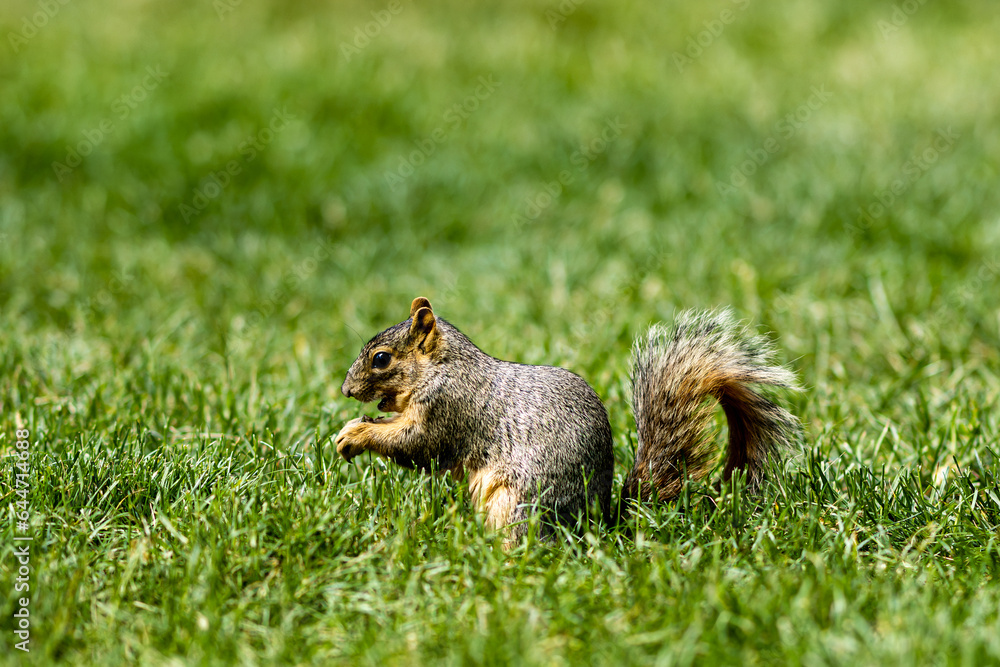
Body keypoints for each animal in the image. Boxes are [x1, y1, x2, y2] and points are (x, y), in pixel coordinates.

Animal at [335, 296, 800, 541]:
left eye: (381, 359)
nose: (345, 391)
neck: (443, 367)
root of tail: (599, 520)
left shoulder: (449, 409)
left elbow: (418, 446)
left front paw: (355, 434)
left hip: (518, 503)